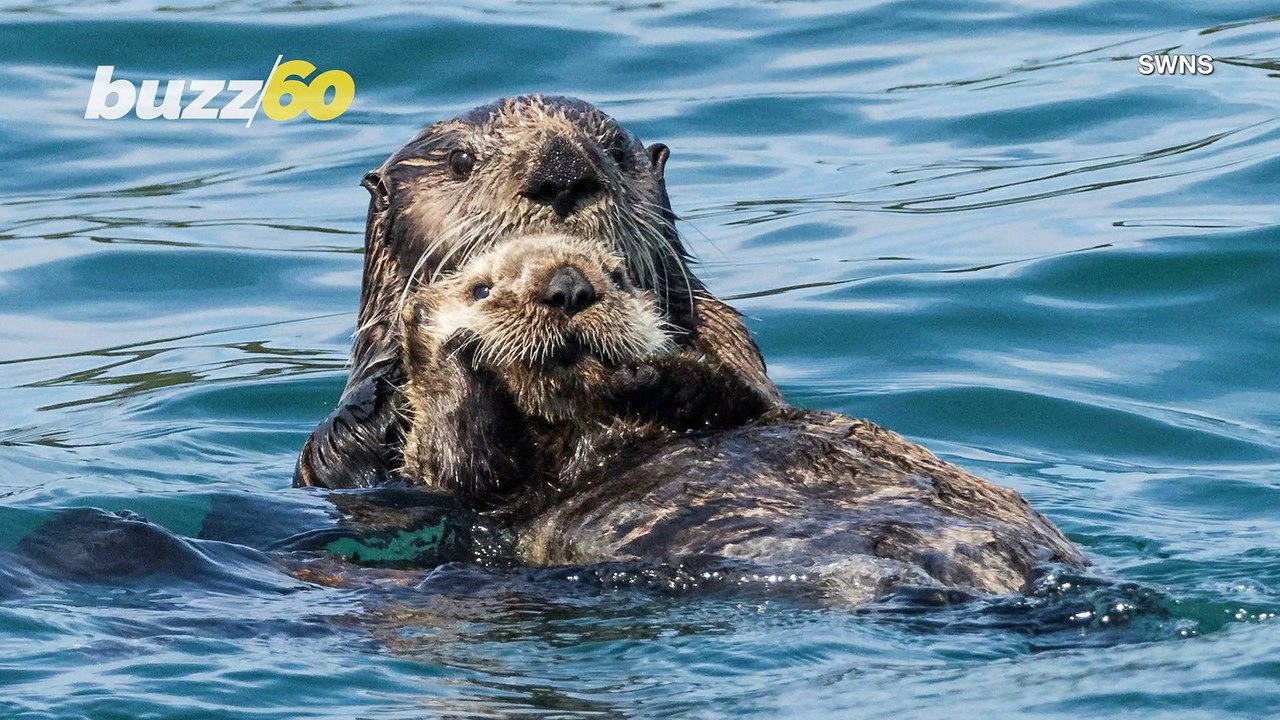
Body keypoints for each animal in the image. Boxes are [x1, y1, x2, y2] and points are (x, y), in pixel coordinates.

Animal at [397, 234, 1087, 603]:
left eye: (616, 274)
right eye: (482, 288)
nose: (570, 286)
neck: (591, 432)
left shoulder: (738, 398)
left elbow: (728, 393)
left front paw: (644, 374)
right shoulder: (482, 491)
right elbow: (462, 459)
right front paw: (447, 343)